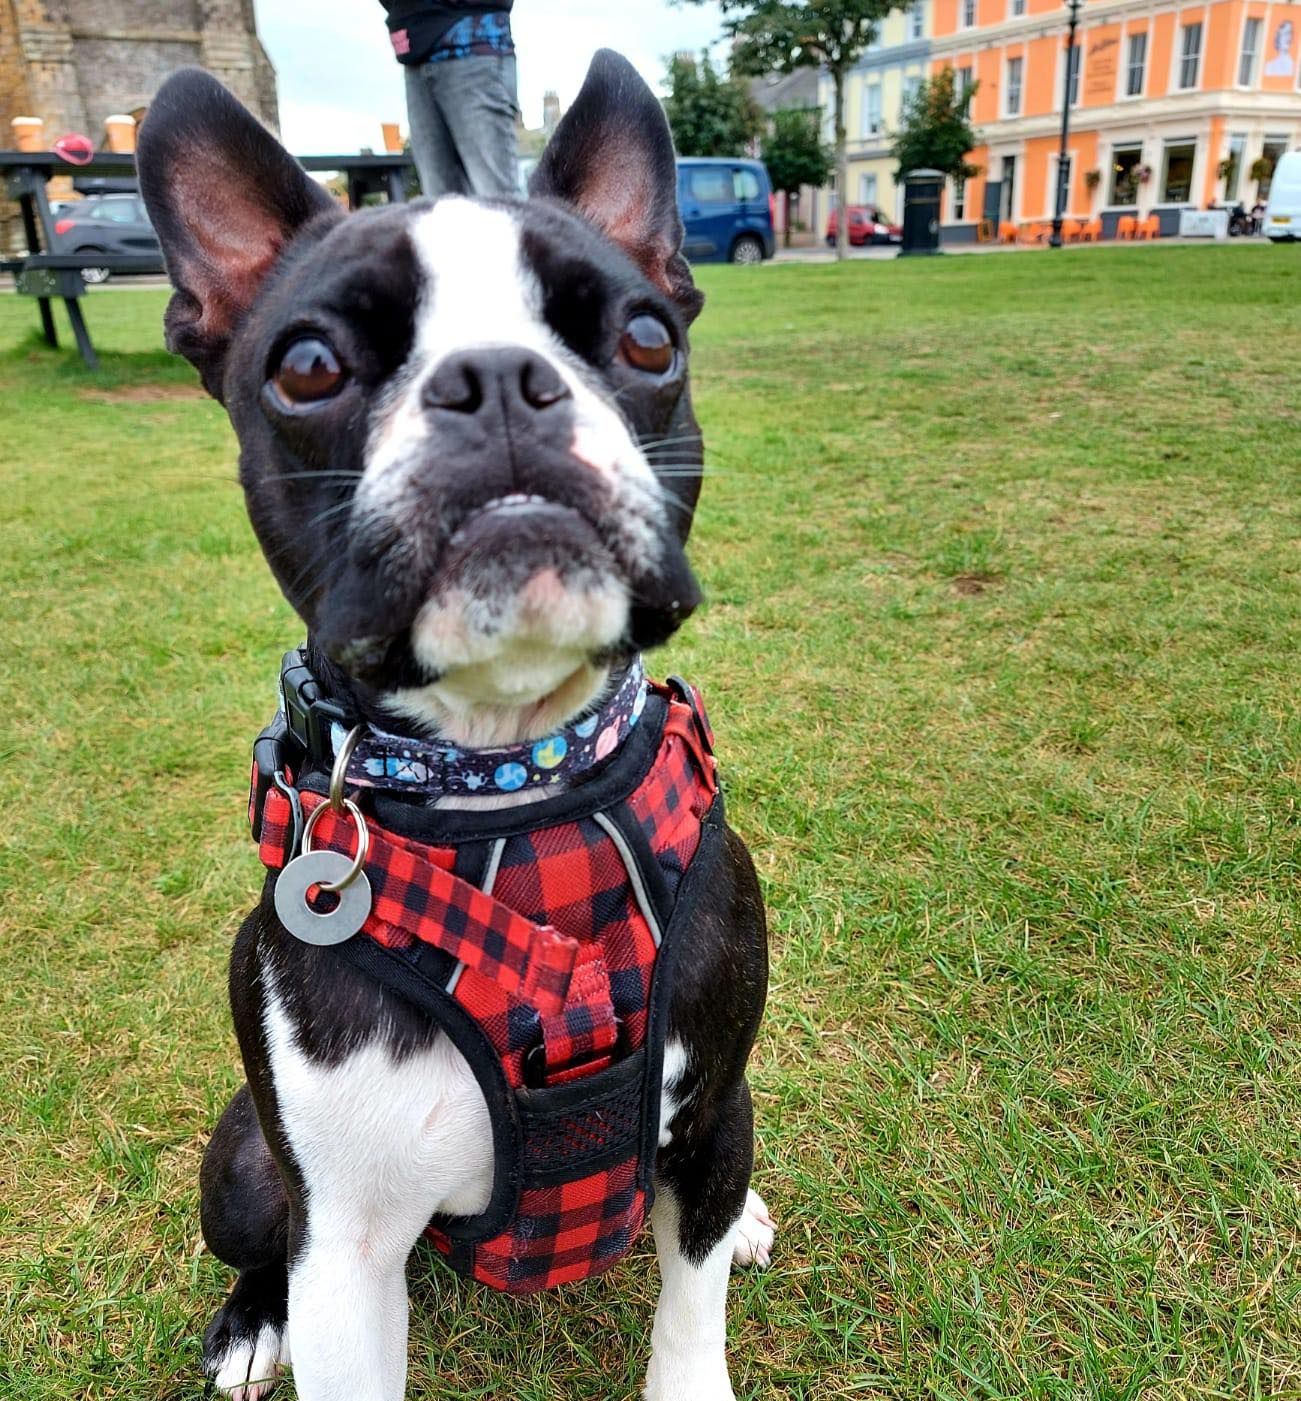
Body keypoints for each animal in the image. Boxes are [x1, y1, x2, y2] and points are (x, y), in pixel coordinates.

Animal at [137, 50, 771, 1401]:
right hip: (245, 1165)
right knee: (259, 1239)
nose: (494, 382)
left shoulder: (710, 1110)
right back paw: (248, 1324)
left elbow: (687, 1305)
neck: (510, 779)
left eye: (647, 336)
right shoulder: (344, 1244)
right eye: (306, 367)